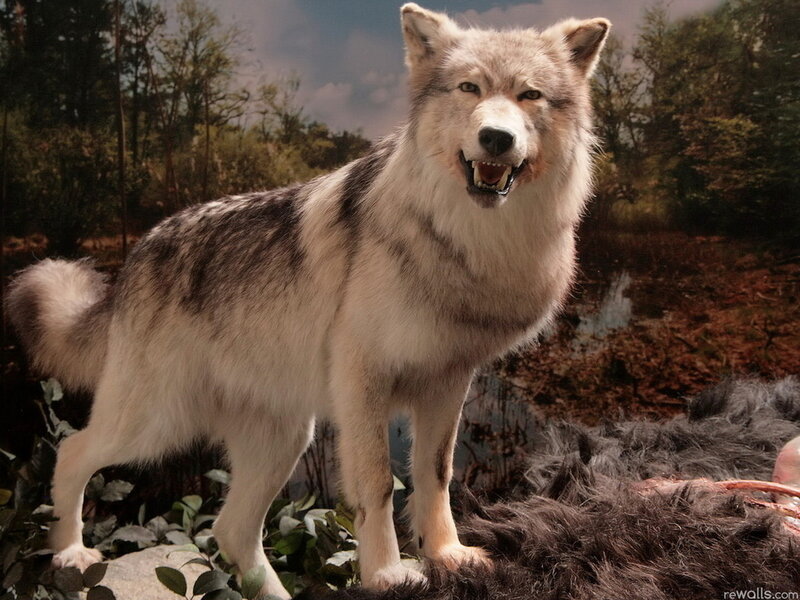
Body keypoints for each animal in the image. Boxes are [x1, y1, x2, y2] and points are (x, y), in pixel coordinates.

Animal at [6, 4, 609, 597]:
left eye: (529, 95)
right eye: (470, 88)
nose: (496, 139)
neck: (467, 244)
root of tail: (135, 256)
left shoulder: (448, 382)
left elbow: (436, 475)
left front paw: (447, 555)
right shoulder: (363, 383)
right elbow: (378, 484)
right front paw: (388, 574)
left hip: (281, 439)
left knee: (231, 531)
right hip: (156, 424)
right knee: (71, 453)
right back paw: (69, 551)